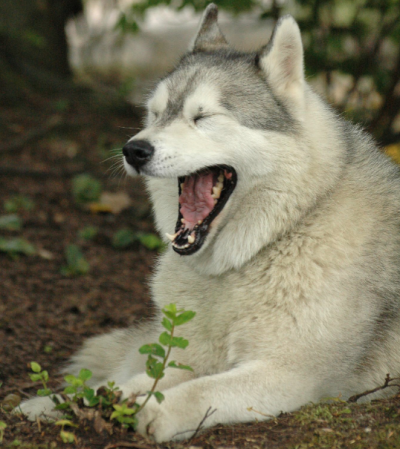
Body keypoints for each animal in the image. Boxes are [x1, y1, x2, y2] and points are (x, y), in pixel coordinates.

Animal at [17, 3, 400, 442]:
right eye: (154, 114)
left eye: (203, 117)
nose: (133, 149)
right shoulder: (189, 353)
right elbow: (132, 381)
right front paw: (80, 402)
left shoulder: (287, 375)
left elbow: (198, 390)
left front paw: (150, 411)